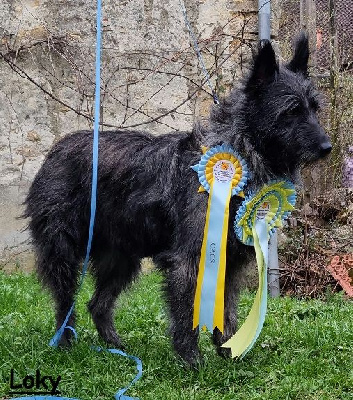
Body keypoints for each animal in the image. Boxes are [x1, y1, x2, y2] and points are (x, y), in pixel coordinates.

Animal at [24, 35, 330, 366]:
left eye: (315, 108)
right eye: (291, 110)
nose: (327, 147)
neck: (240, 153)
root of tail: (55, 150)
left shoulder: (230, 264)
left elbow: (227, 309)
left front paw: (228, 350)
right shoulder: (189, 260)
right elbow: (186, 313)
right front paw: (191, 359)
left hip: (120, 260)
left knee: (98, 304)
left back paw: (116, 347)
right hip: (63, 253)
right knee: (65, 302)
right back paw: (65, 342)